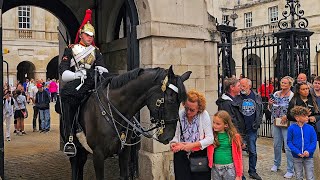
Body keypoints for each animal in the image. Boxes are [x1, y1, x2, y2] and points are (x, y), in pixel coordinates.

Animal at [59, 66, 190, 180]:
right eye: (171, 99)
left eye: (180, 101)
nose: (169, 136)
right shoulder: (98, 155)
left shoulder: (124, 152)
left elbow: (124, 175)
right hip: (75, 150)